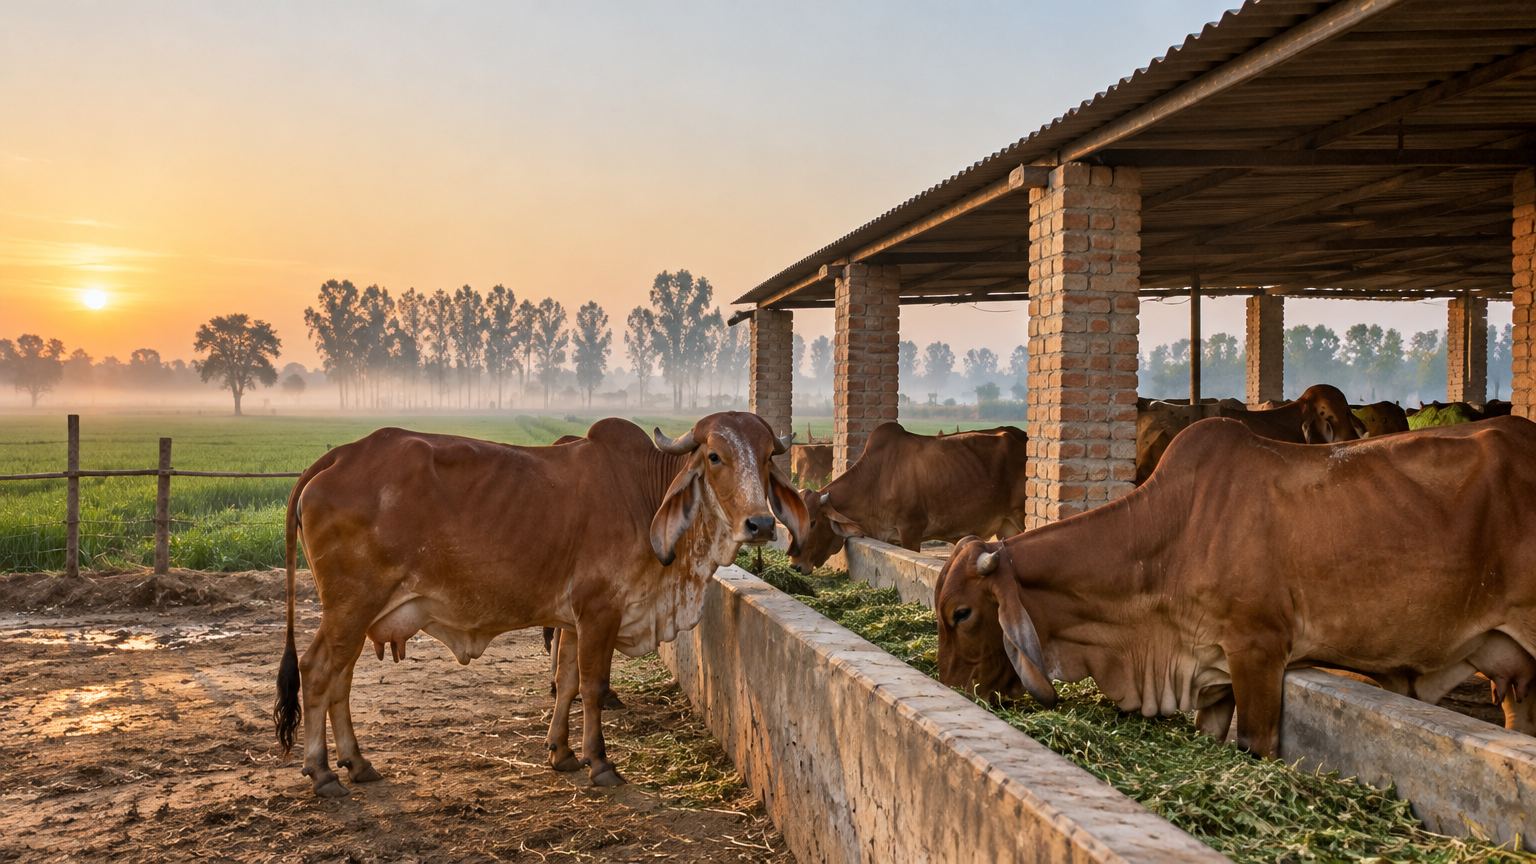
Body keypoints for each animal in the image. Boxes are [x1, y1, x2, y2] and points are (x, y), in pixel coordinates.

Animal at [272, 412, 808, 796]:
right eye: (715, 456)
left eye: (766, 457)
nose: (761, 524)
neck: (643, 493)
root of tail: (340, 457)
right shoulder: (600, 612)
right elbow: (593, 687)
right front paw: (600, 762)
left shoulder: (572, 620)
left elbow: (566, 682)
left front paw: (561, 752)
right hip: (350, 607)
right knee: (318, 672)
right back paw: (322, 773)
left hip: (356, 614)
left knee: (340, 680)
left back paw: (357, 763)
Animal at [787, 423, 1029, 573]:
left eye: (812, 522)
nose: (795, 565)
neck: (876, 478)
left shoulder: (911, 530)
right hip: (1006, 526)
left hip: (1021, 518)